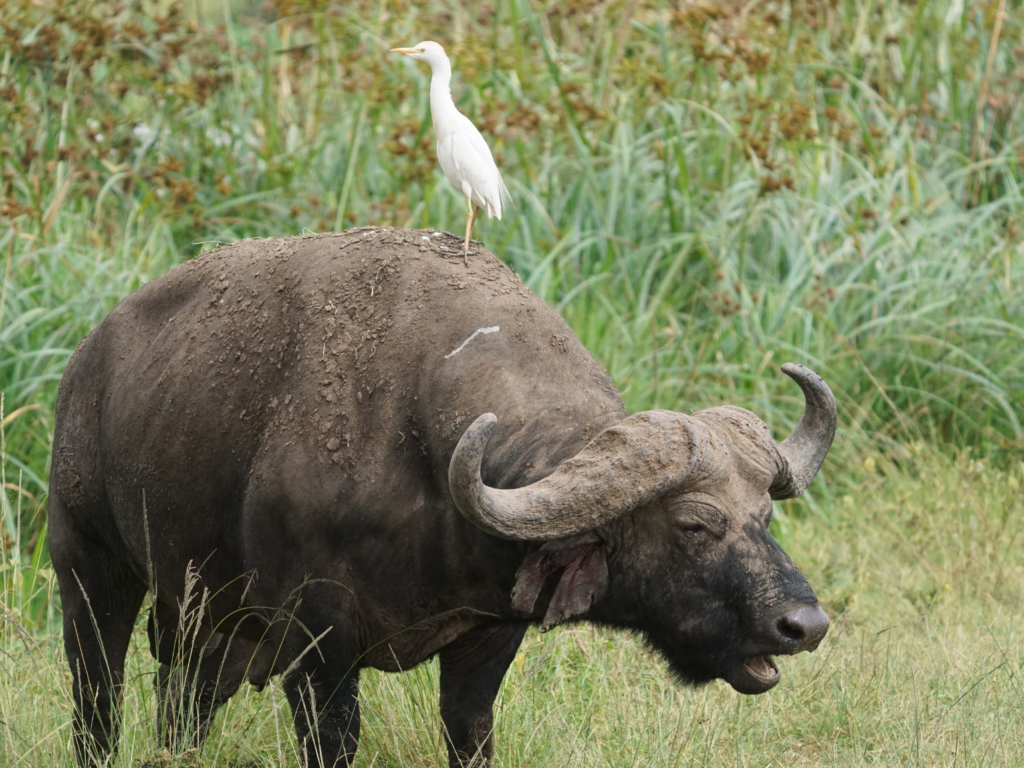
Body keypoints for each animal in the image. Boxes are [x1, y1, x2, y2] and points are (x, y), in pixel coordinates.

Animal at [49, 225, 831, 765]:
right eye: (694, 524)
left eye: (765, 515)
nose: (806, 625)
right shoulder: (316, 643)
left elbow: (469, 730)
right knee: (97, 696)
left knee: (182, 703)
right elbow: (334, 739)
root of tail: (89, 361)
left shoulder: (489, 639)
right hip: (87, 565)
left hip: (208, 621)